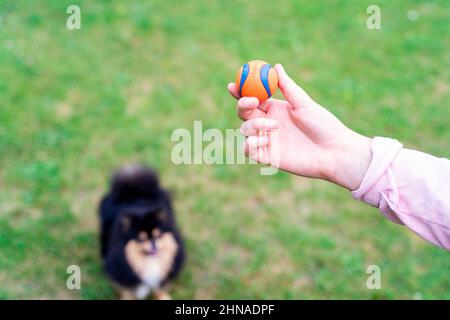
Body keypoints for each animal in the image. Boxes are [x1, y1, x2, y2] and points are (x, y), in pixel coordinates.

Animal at [99, 166, 185, 298]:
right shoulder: (122, 274)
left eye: (158, 234)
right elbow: (127, 292)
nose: (153, 243)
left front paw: (164, 297)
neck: (149, 262)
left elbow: (160, 288)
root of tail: (134, 192)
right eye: (141, 238)